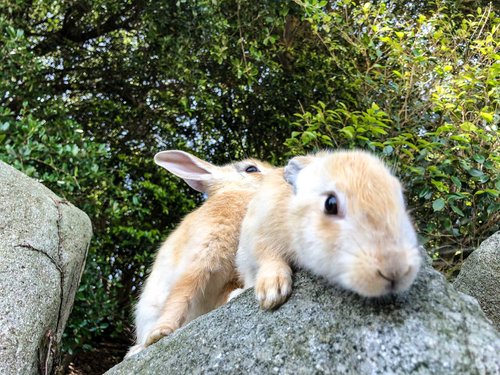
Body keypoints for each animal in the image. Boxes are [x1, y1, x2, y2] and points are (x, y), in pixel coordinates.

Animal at [235, 150, 422, 312]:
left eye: (401, 198)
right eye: (330, 204)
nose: (396, 271)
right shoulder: (260, 234)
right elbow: (269, 258)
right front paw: (272, 293)